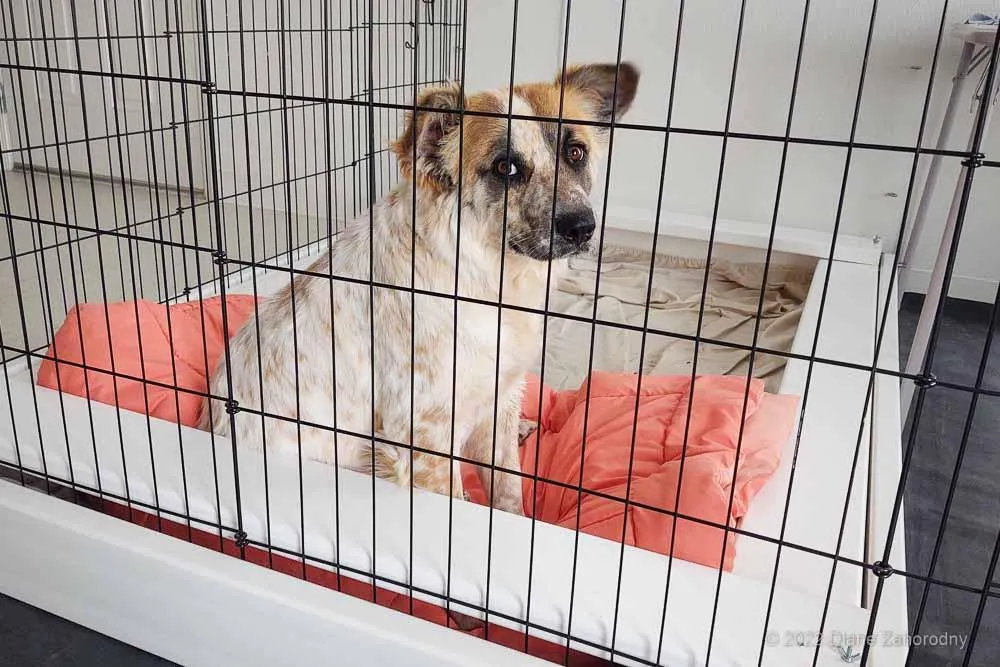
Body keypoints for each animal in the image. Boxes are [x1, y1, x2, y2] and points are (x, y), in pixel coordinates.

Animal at [201, 62, 640, 516]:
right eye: (505, 167)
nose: (581, 227)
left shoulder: (500, 396)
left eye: (576, 152)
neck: (484, 276)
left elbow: (508, 493)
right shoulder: (425, 434)